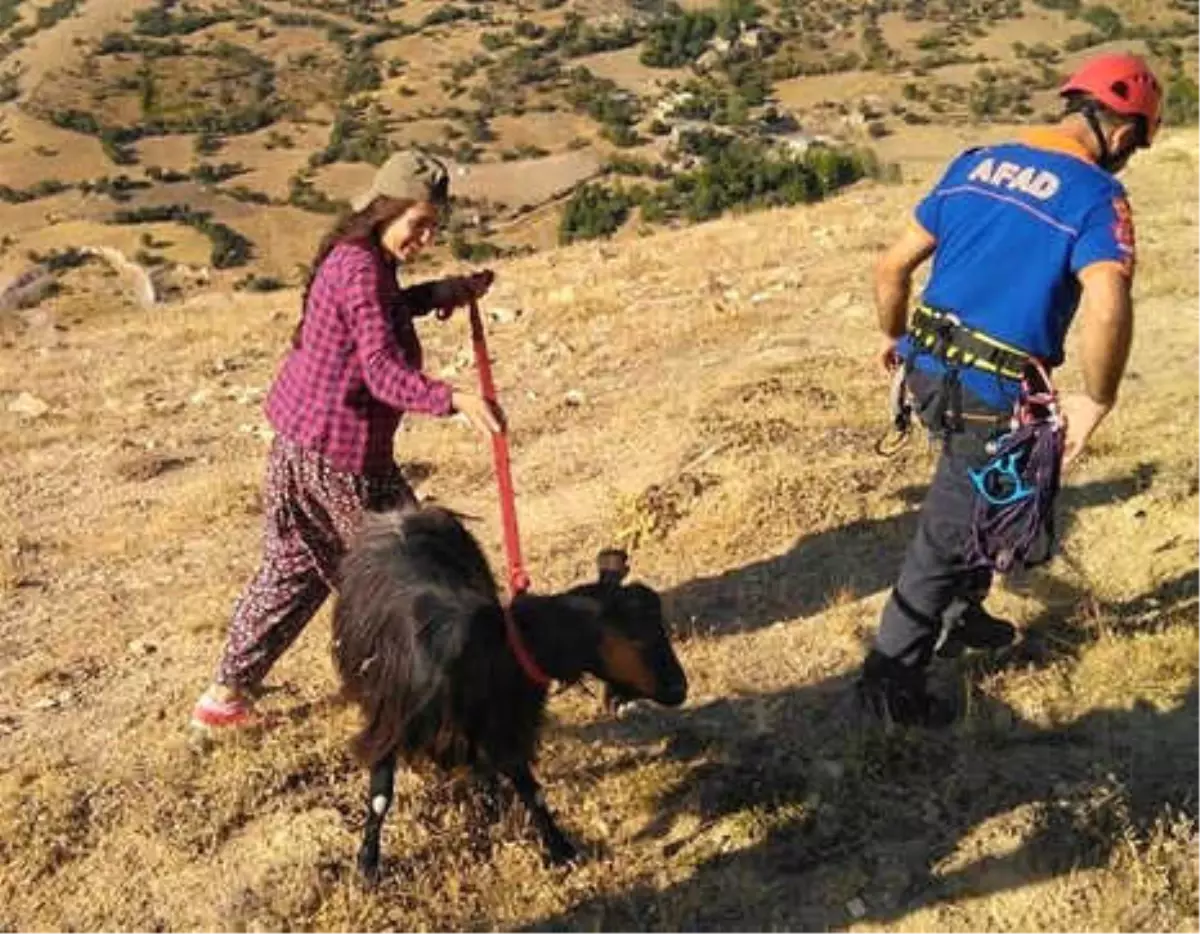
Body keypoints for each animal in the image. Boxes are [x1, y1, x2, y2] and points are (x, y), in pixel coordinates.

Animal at [333, 506, 691, 878]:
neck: (497, 648)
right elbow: (380, 796)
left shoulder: (505, 725)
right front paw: (367, 865)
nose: (679, 688)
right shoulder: (388, 723)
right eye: (635, 637)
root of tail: (402, 514)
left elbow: (530, 789)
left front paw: (558, 849)